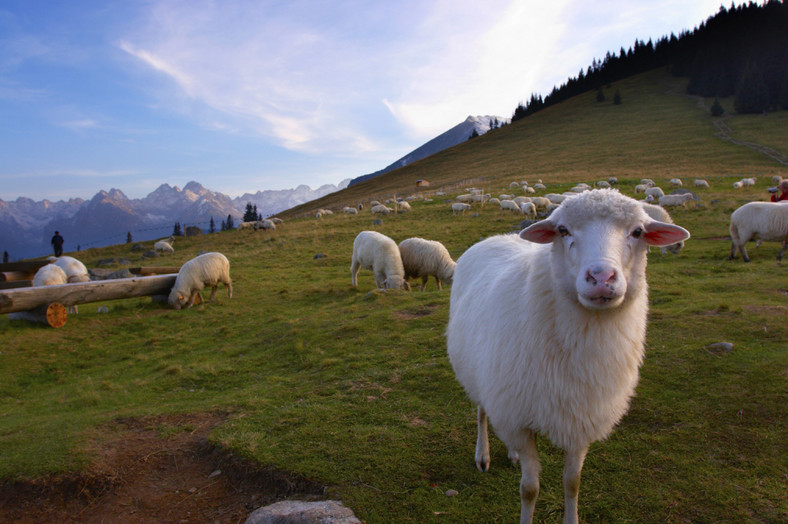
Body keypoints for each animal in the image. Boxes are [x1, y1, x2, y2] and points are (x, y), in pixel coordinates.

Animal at [446, 189, 692, 524]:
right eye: (562, 230)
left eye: (638, 232)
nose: (601, 277)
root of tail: (493, 238)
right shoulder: (519, 416)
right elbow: (529, 489)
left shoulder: (581, 416)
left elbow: (572, 482)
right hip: (482, 375)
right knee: (483, 412)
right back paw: (482, 455)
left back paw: (510, 453)